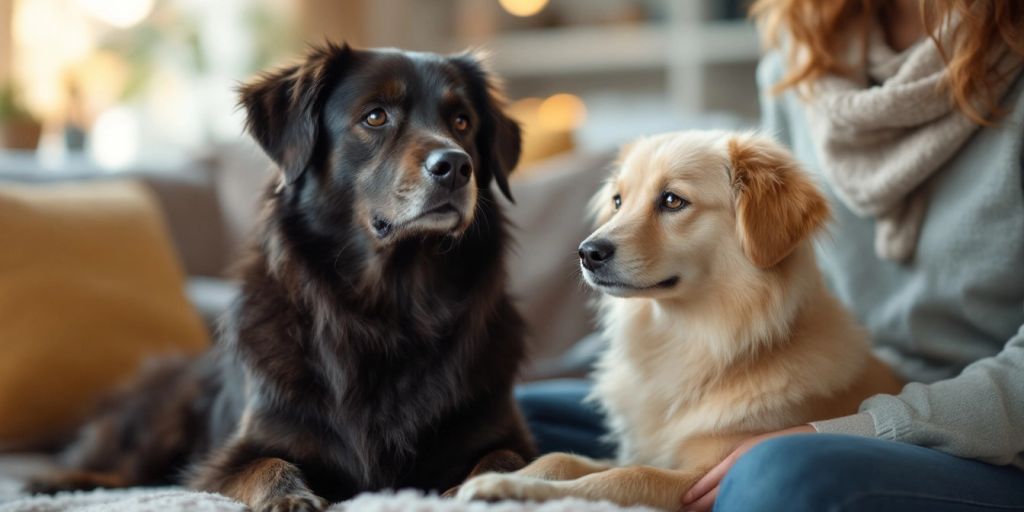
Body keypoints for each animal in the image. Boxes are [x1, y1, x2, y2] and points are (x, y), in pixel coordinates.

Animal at [28, 43, 532, 512]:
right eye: (375, 116)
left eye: (462, 122)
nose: (456, 166)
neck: (393, 304)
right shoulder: (223, 461)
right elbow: (268, 463)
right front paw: (289, 496)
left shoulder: (507, 435)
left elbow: (505, 459)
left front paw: (483, 489)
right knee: (121, 465)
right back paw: (60, 479)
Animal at [452, 131, 901, 507]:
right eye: (618, 201)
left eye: (672, 201)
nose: (587, 252)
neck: (687, 337)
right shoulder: (645, 450)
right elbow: (563, 459)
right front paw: (481, 482)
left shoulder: (698, 478)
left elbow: (623, 478)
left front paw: (507, 487)